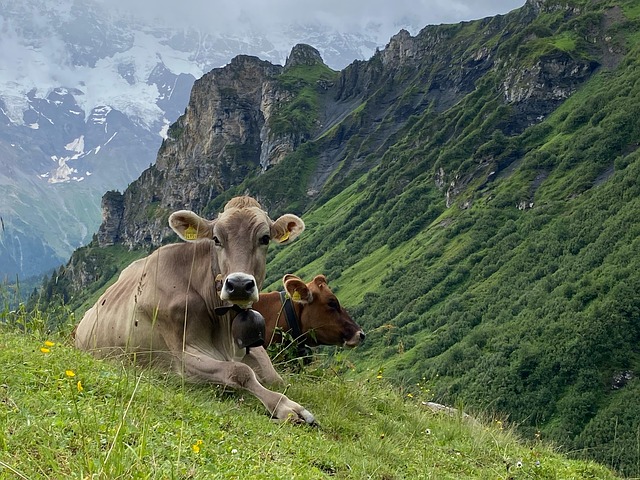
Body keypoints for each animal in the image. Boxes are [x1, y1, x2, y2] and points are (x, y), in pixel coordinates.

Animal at [75, 196, 315, 424]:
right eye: (216, 239)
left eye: (264, 238)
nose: (238, 284)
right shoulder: (182, 357)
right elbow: (240, 371)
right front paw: (287, 407)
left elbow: (275, 377)